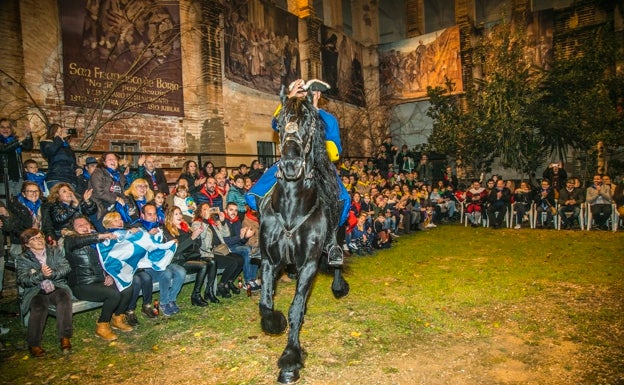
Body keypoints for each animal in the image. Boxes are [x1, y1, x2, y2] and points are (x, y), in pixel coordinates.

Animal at [256, 89, 348, 380]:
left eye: (309, 122)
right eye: (281, 120)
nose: (290, 164)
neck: (291, 208)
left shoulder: (309, 264)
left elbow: (296, 308)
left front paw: (290, 359)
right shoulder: (269, 261)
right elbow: (266, 303)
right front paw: (275, 322)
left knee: (336, 262)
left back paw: (339, 286)